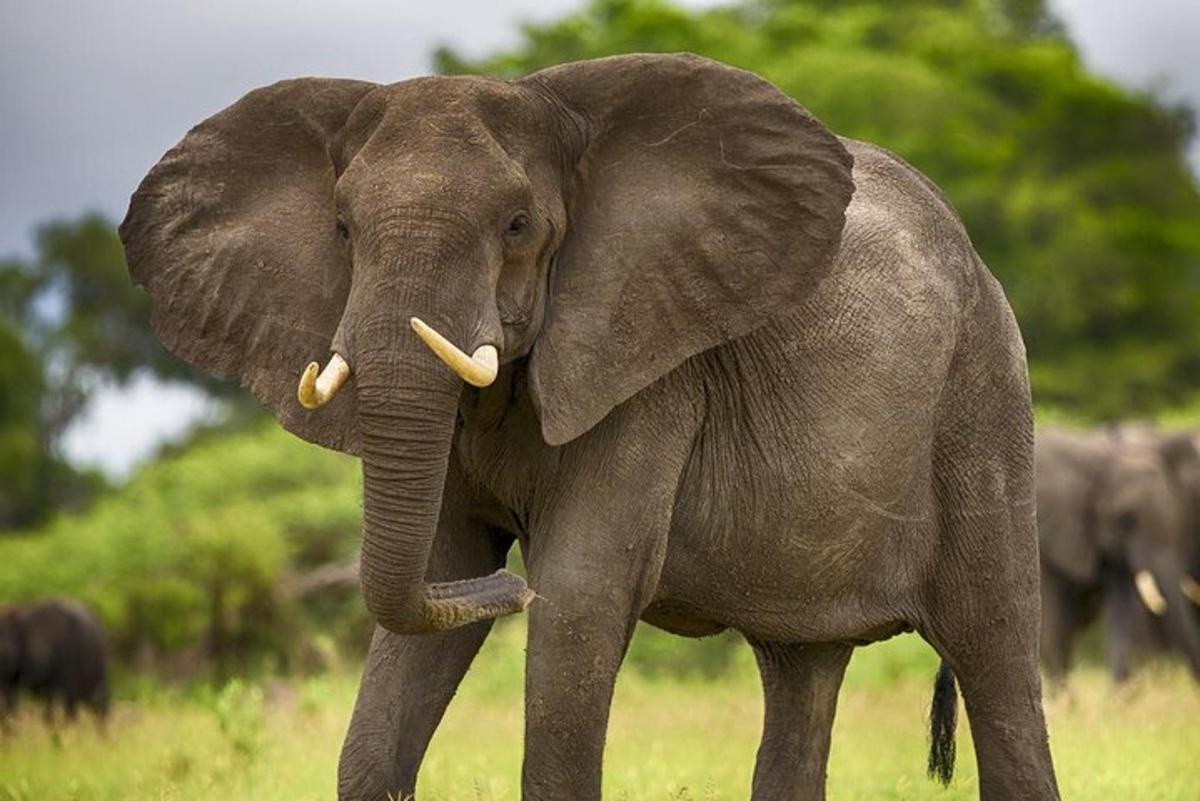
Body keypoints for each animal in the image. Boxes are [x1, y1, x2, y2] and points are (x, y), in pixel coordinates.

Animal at [121, 53, 1060, 796]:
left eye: (517, 225)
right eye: (344, 230)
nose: (510, 588)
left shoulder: (648, 368)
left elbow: (578, 597)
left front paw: (536, 589)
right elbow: (431, 581)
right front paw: (472, 580)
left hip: (983, 396)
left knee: (996, 656)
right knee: (802, 672)